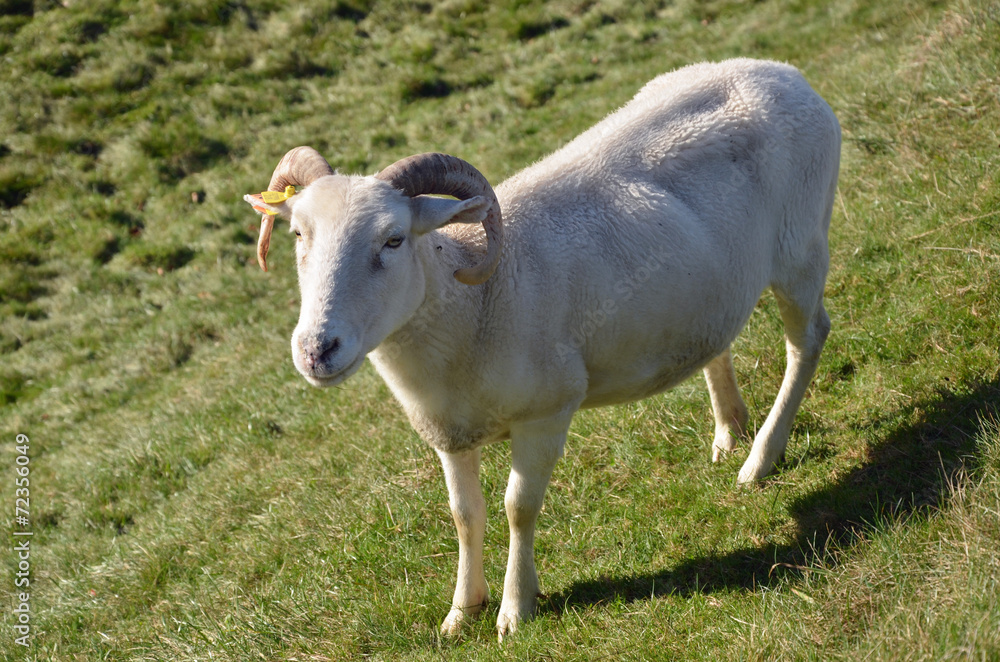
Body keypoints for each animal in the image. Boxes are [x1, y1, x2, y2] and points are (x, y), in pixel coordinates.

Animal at [244, 58, 841, 640]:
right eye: (297, 234)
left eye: (393, 239)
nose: (317, 349)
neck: (470, 303)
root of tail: (780, 72)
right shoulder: (449, 432)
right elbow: (465, 514)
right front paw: (461, 612)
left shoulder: (547, 412)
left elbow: (518, 508)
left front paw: (515, 608)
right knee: (720, 340)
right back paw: (728, 430)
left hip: (801, 249)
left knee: (807, 342)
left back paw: (761, 457)